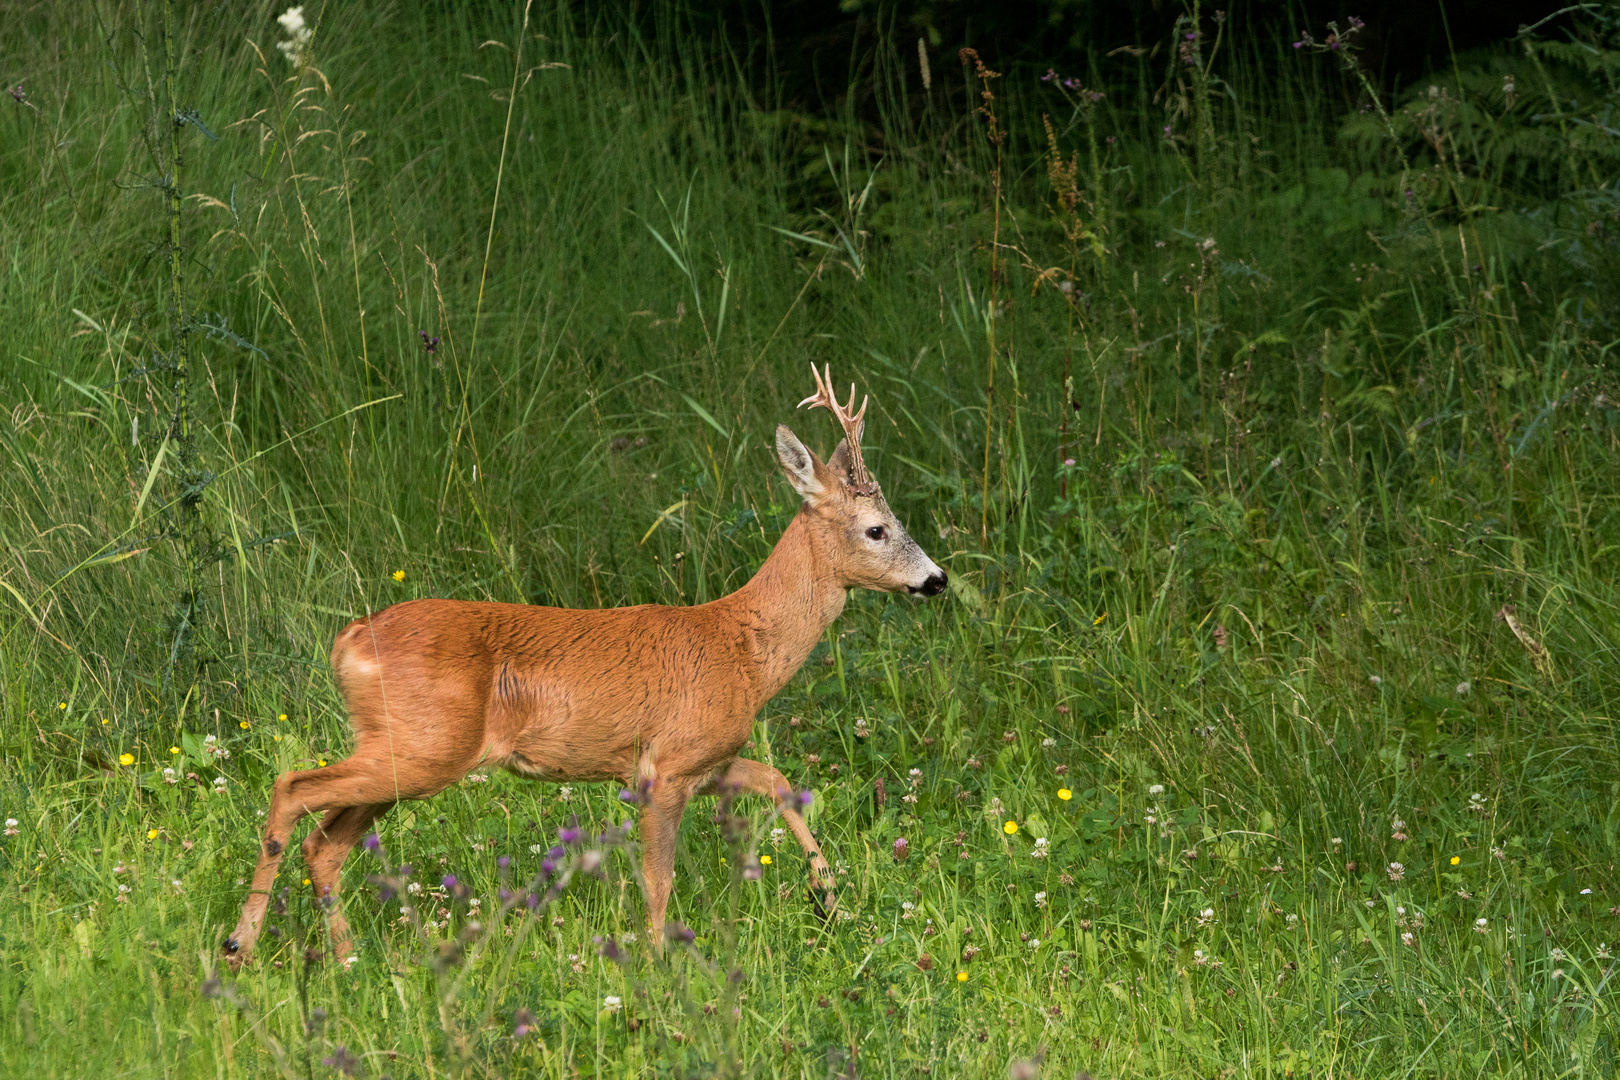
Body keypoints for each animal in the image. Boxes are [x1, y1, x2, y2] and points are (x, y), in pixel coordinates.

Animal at [221, 367, 946, 965]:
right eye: (877, 529)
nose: (937, 580)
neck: (742, 648)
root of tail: (349, 639)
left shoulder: (702, 758)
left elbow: (779, 781)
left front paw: (831, 901)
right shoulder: (665, 765)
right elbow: (658, 878)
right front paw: (657, 962)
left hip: (407, 752)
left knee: (326, 843)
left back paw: (343, 958)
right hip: (425, 746)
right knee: (292, 788)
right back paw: (240, 945)